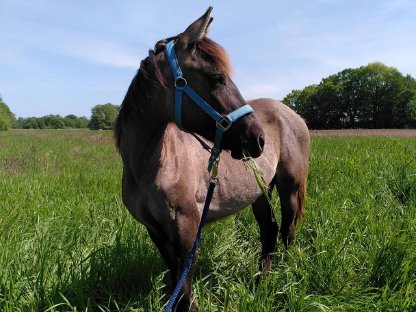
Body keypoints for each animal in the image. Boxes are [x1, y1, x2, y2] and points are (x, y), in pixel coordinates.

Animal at [114, 7, 308, 312]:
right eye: (216, 77)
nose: (258, 139)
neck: (148, 167)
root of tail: (293, 114)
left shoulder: (187, 227)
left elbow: (184, 285)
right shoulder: (155, 230)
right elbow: (175, 280)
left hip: (290, 187)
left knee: (288, 229)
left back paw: (284, 276)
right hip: (259, 191)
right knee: (270, 230)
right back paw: (261, 281)